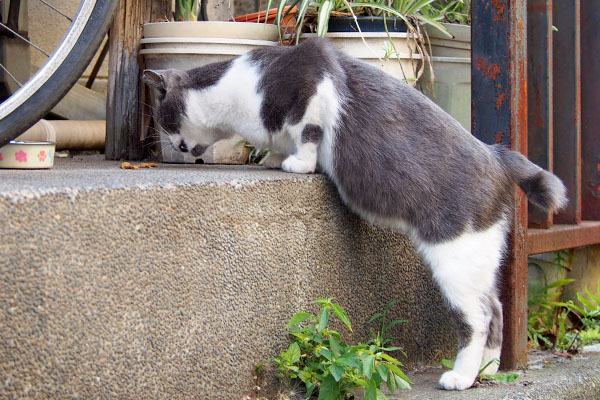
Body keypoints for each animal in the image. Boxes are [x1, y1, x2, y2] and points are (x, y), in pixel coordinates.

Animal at [142, 38, 568, 390]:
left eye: (164, 119)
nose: (175, 147)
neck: (237, 91)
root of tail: (498, 157)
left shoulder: (312, 84)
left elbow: (308, 133)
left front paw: (296, 163)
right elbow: (283, 143)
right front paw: (275, 157)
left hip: (455, 258)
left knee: (477, 318)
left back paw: (461, 377)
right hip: (482, 256)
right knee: (496, 309)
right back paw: (489, 370)